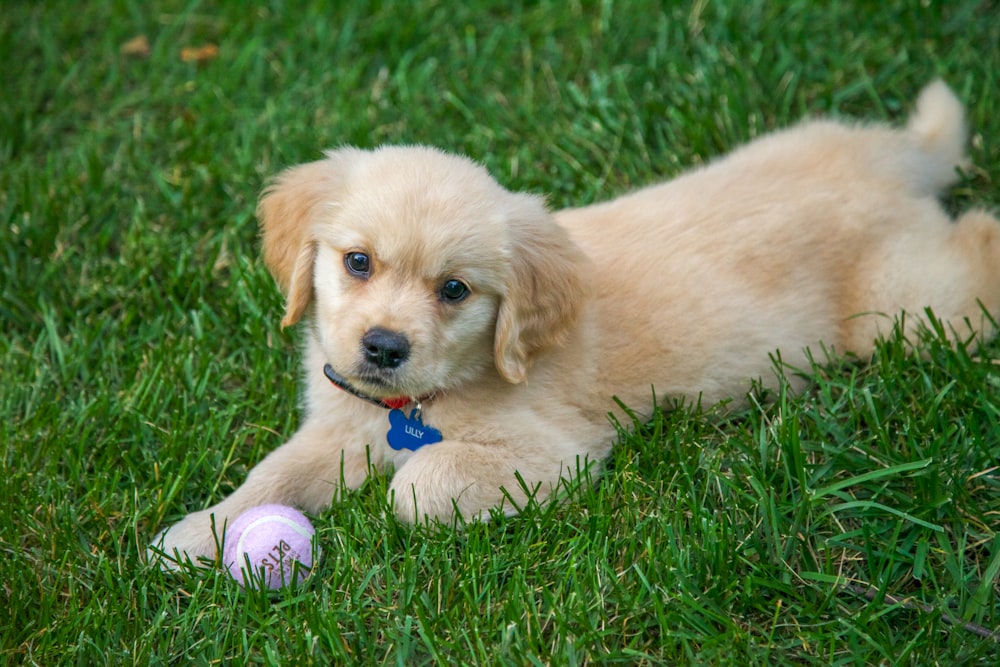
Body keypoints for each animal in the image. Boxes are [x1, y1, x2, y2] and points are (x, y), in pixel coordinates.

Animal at [150, 81, 1000, 568]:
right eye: (357, 262)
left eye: (454, 289)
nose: (382, 348)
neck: (421, 399)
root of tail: (891, 157)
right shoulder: (336, 428)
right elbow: (271, 475)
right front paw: (199, 534)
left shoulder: (555, 448)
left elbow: (418, 486)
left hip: (907, 309)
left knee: (976, 245)